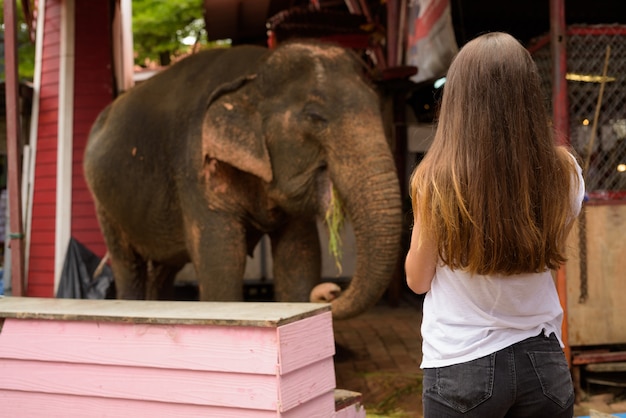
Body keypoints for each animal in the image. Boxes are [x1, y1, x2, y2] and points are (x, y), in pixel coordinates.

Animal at [83, 40, 402, 320]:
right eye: (314, 117)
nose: (330, 291)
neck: (253, 76)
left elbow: (300, 254)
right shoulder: (196, 168)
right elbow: (220, 259)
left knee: (164, 268)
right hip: (103, 205)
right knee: (128, 264)